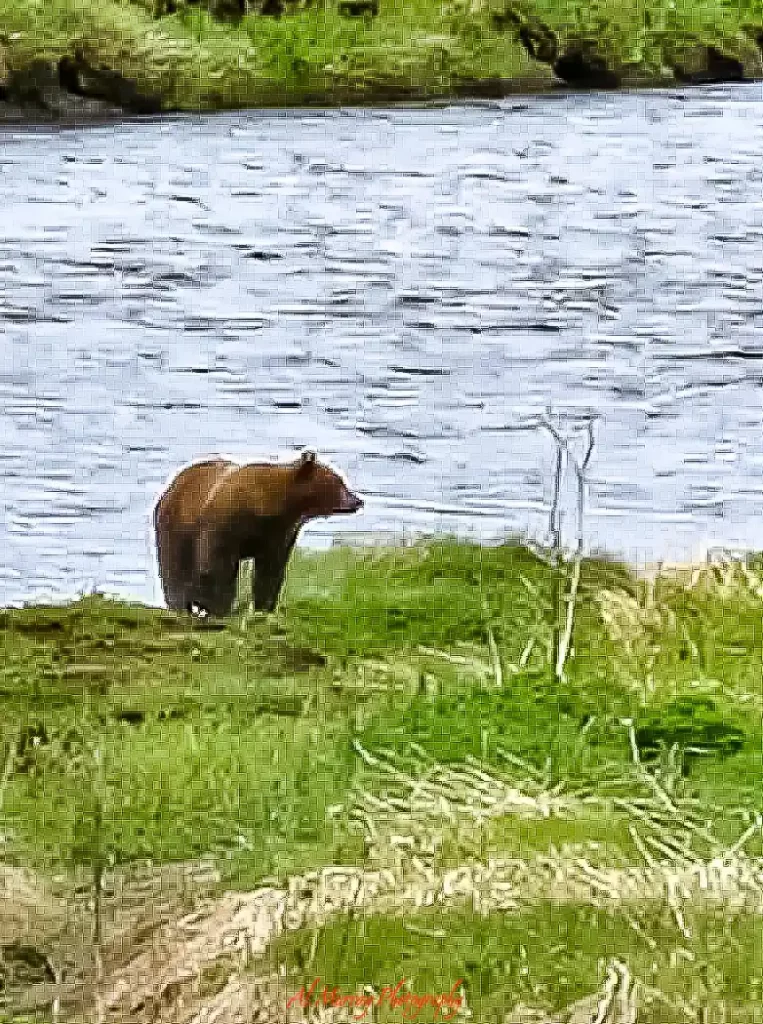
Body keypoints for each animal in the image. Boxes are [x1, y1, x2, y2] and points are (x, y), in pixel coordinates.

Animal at [154, 450, 363, 617]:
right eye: (339, 481)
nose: (357, 500)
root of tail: (170, 487)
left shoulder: (279, 533)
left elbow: (270, 571)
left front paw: (264, 608)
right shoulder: (226, 522)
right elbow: (217, 565)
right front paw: (219, 606)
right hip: (175, 525)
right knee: (173, 566)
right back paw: (180, 604)